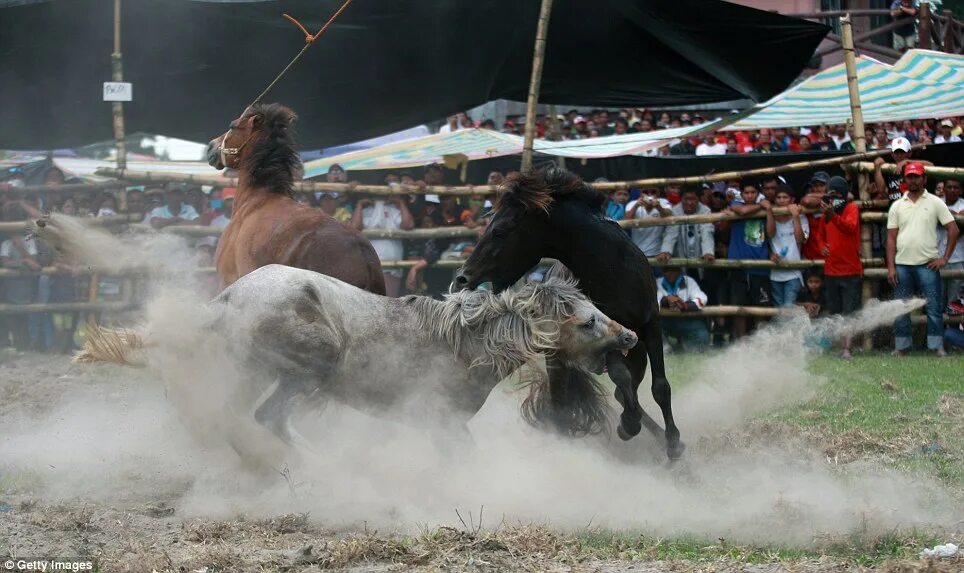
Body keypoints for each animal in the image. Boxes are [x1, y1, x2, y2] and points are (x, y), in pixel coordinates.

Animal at [83, 264, 636, 464]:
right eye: (588, 321)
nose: (629, 336)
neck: (465, 342)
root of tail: (227, 300)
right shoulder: (441, 422)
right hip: (305, 371)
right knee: (270, 418)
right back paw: (325, 466)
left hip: (251, 372)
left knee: (235, 416)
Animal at [454, 166, 684, 460]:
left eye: (500, 231)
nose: (463, 277)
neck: (613, 270)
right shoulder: (605, 337)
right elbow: (620, 377)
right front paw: (629, 425)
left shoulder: (650, 327)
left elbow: (660, 387)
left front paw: (674, 443)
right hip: (560, 365)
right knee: (564, 407)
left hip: (637, 352)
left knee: (624, 392)